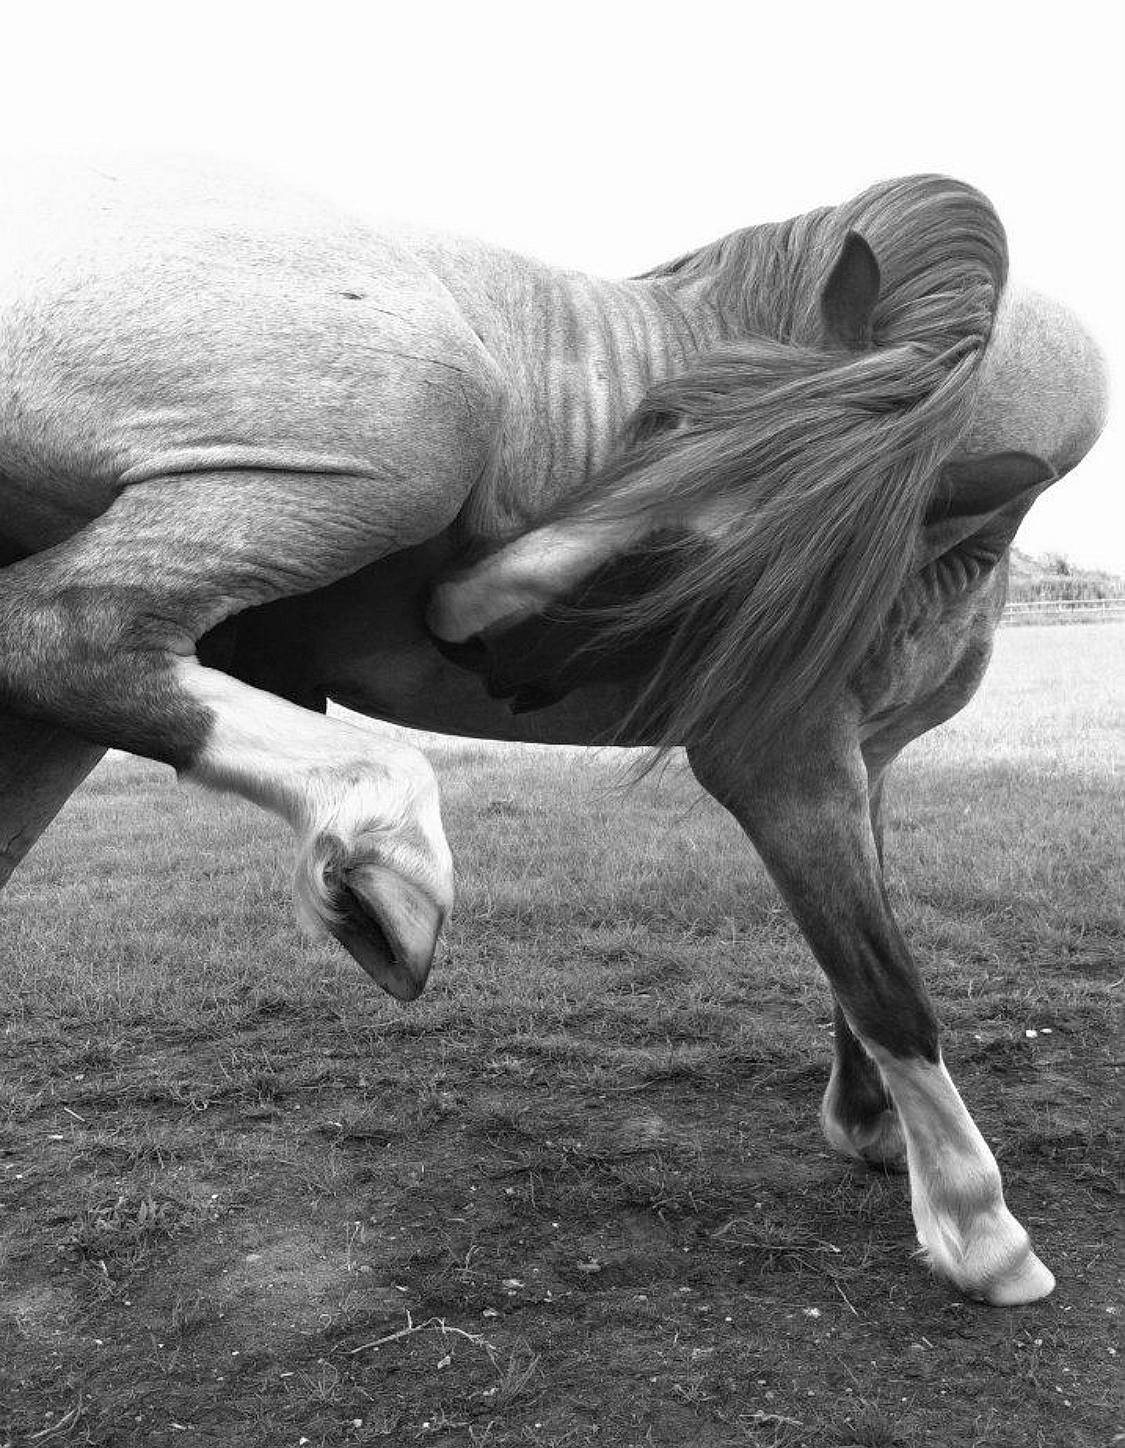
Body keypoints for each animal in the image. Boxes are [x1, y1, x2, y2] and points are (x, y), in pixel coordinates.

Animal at [0, 156, 1107, 1308]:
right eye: (656, 419)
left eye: (706, 561)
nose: (455, 616)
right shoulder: (777, 759)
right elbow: (885, 983)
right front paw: (979, 1228)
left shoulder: (867, 762)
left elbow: (861, 953)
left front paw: (875, 1133)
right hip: (406, 433)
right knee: (59, 631)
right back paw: (387, 849)